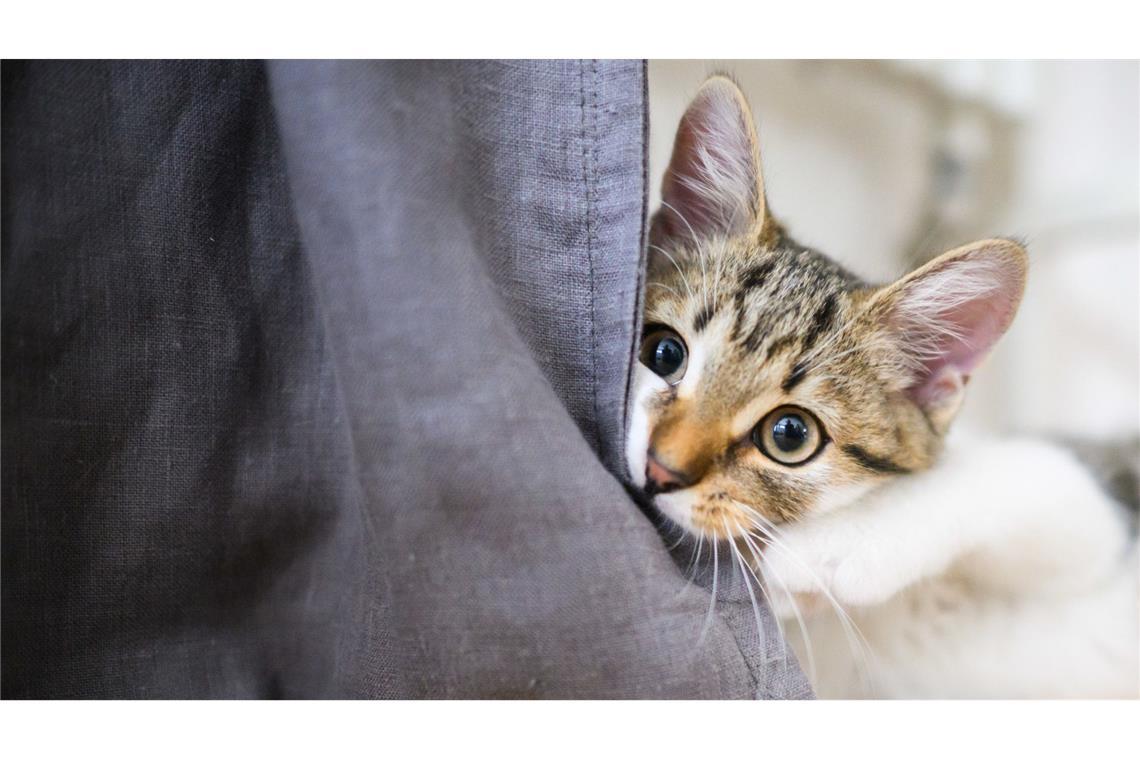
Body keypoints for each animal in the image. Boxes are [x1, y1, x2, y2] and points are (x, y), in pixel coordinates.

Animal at [633, 74, 1140, 697]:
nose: (660, 469)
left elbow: (1029, 475)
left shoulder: (1099, 519)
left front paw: (829, 549)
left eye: (790, 434)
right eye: (663, 353)